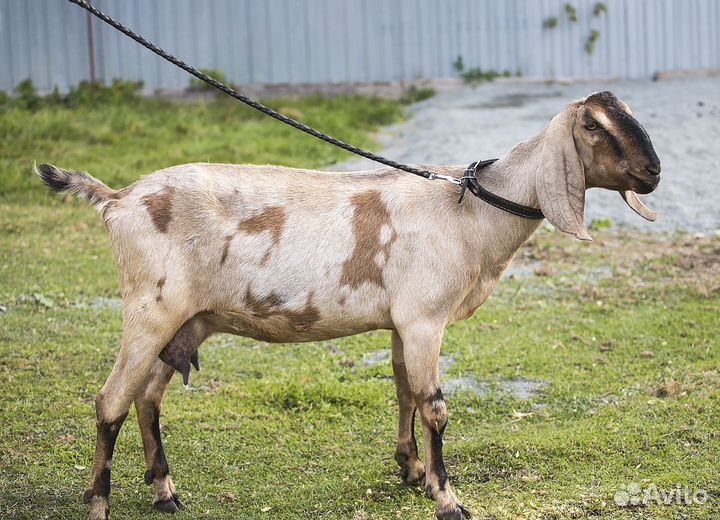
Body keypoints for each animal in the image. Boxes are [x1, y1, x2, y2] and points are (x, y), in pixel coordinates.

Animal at [37, 91, 660, 520]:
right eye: (594, 126)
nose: (653, 172)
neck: (470, 212)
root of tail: (117, 200)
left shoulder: (403, 321)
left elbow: (405, 390)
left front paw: (412, 470)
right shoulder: (425, 318)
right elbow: (435, 406)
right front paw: (448, 498)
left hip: (185, 320)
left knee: (146, 398)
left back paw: (164, 491)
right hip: (150, 308)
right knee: (110, 401)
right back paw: (100, 502)